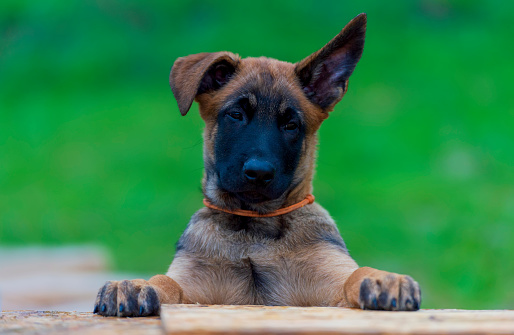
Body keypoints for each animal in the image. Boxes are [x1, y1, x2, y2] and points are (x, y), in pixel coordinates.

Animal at [93, 13, 420, 318]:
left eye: (291, 125)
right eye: (236, 115)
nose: (259, 173)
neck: (254, 232)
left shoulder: (330, 284)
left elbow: (355, 273)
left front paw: (383, 279)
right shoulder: (194, 290)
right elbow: (166, 281)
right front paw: (135, 284)